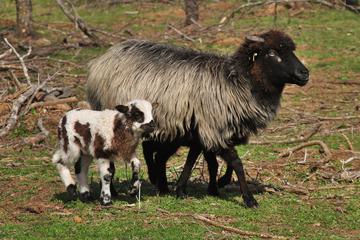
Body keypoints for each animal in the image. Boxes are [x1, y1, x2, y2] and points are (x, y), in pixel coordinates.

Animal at [87, 29, 310, 206]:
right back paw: (114, 191)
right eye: (272, 52)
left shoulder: (205, 132)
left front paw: (198, 187)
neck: (238, 83)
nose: (305, 74)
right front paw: (248, 199)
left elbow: (200, 160)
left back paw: (157, 185)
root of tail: (104, 57)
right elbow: (235, 162)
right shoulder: (213, 128)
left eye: (291, 50)